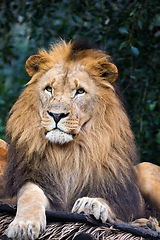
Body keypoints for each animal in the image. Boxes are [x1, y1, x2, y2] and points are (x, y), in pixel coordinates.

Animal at [3, 40, 145, 239]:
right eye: (49, 89)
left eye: (79, 91)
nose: (56, 114)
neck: (69, 153)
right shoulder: (33, 179)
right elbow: (29, 193)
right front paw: (23, 225)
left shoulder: (125, 197)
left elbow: (111, 203)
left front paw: (91, 203)